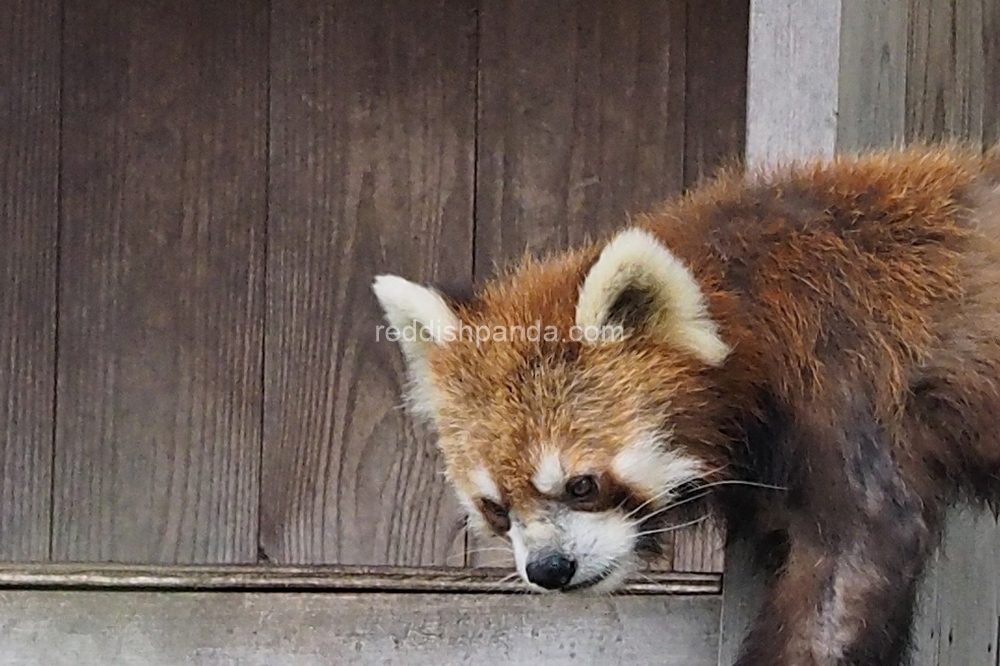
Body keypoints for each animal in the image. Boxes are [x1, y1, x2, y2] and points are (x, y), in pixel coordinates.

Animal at [374, 145, 1000, 664]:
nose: (550, 569)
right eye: (496, 508)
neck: (748, 305)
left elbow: (857, 556)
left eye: (582, 484)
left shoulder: (844, 378)